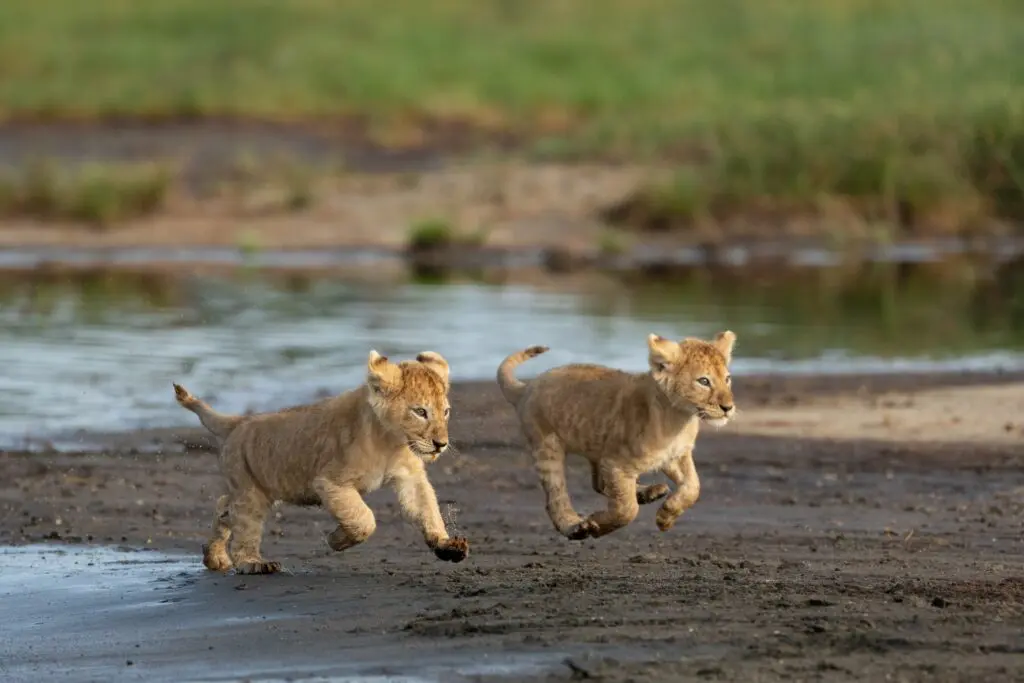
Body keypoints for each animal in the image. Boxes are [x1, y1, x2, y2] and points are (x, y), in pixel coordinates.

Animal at [173, 349, 469, 574]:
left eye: (445, 412)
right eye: (420, 412)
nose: (441, 444)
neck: (392, 442)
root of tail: (239, 421)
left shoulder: (409, 477)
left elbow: (426, 508)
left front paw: (447, 546)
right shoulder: (330, 482)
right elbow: (364, 519)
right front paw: (336, 540)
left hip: (259, 488)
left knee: (224, 507)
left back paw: (214, 557)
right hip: (250, 492)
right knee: (244, 526)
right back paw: (254, 564)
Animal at [496, 331, 736, 541]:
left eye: (727, 379)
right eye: (704, 381)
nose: (728, 407)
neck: (679, 419)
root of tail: (527, 387)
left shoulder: (675, 456)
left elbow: (693, 486)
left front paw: (665, 517)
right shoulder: (617, 464)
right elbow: (627, 509)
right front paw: (597, 525)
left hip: (598, 445)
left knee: (599, 484)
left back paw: (650, 492)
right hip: (547, 446)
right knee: (557, 496)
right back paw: (575, 526)